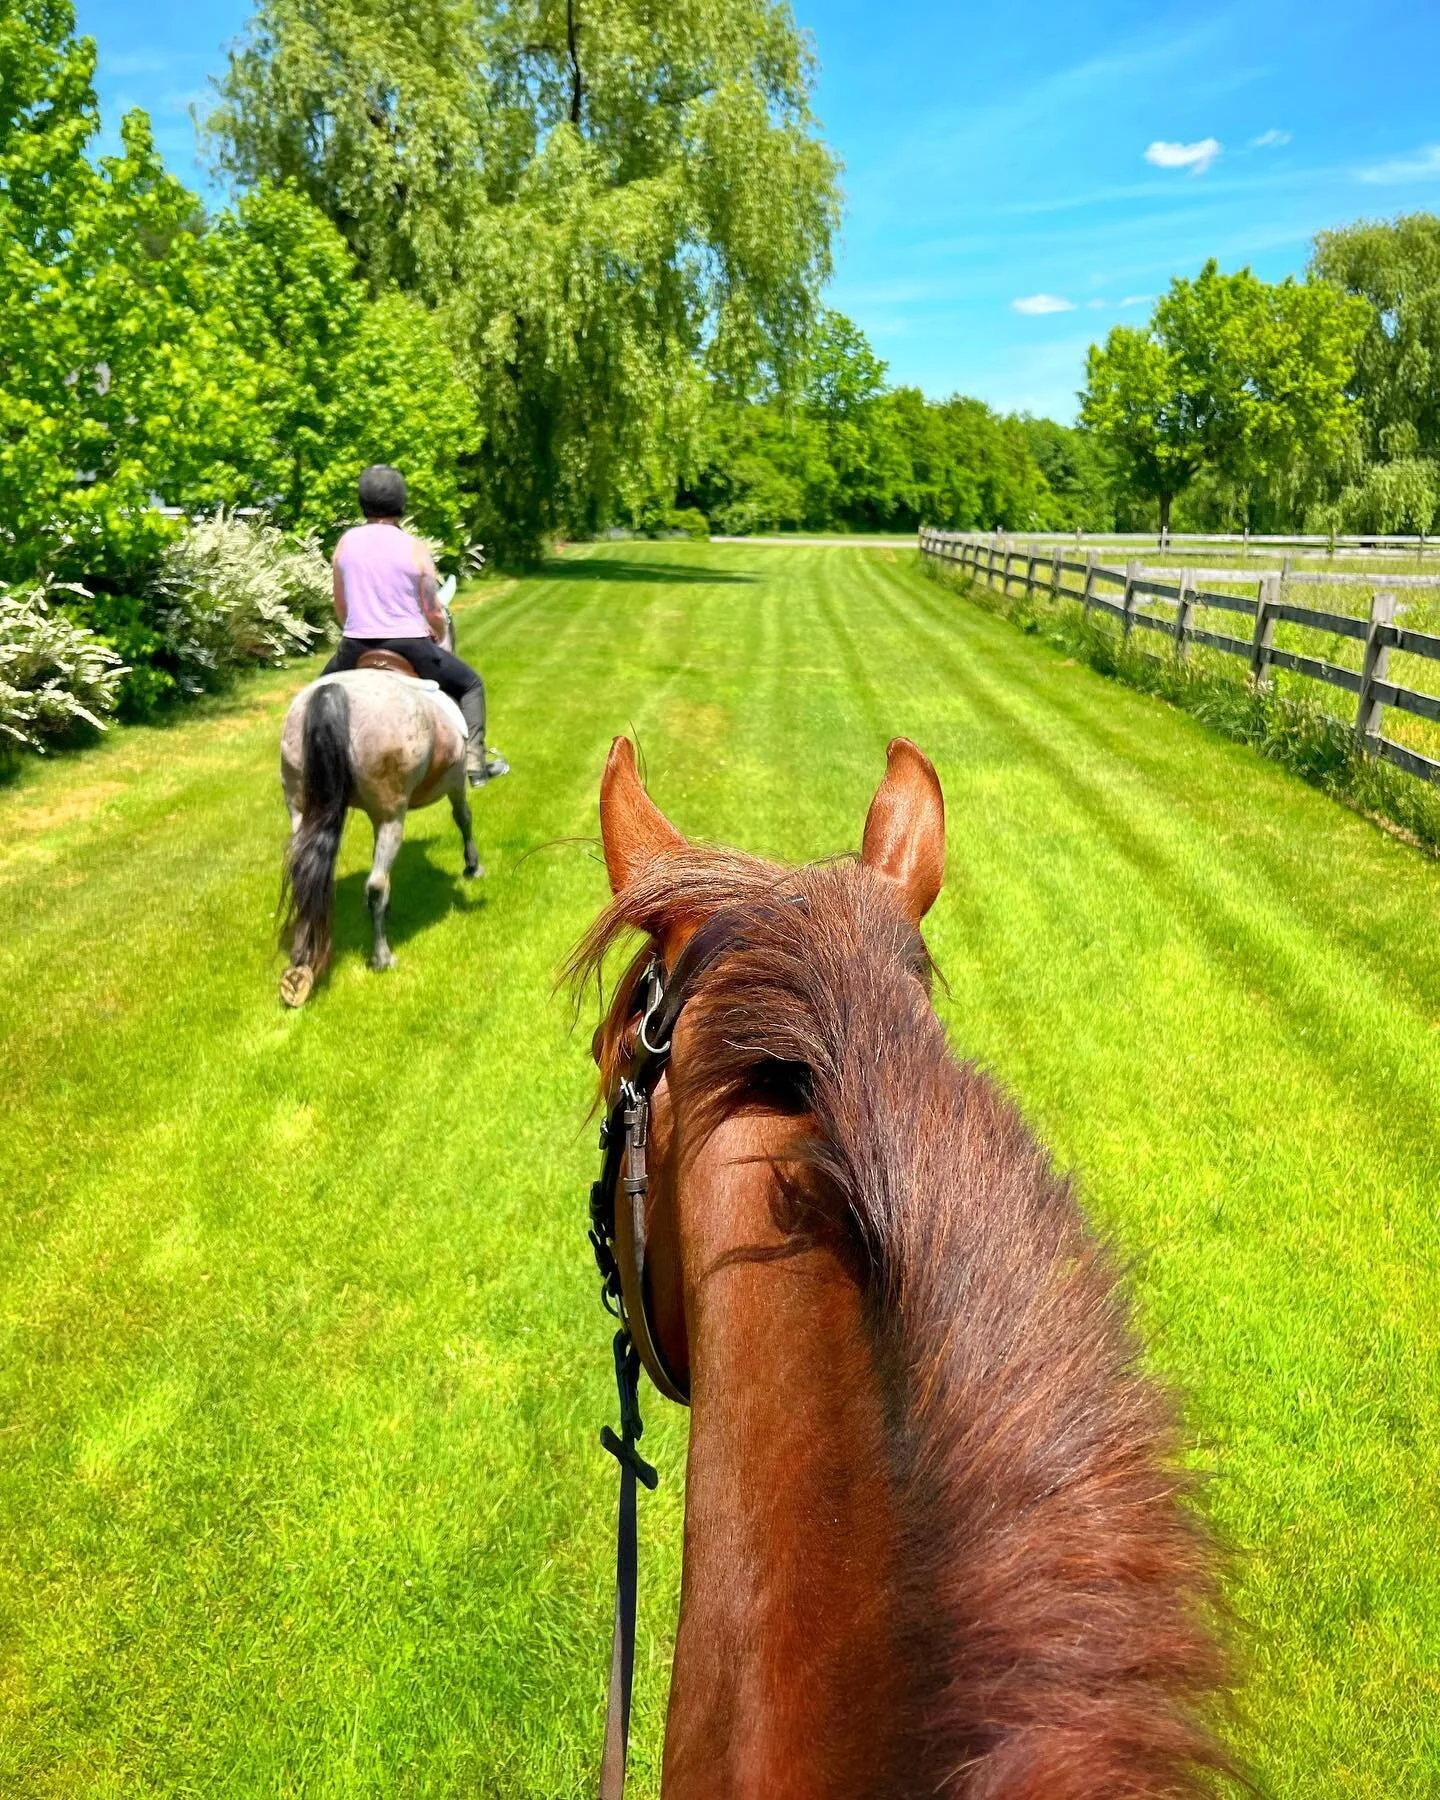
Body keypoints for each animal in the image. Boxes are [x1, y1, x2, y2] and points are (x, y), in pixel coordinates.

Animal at [277, 588, 480, 1007]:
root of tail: (333, 694)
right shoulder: (454, 783)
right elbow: (464, 818)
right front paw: (472, 865)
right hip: (391, 813)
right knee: (375, 885)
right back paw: (382, 956)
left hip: (300, 807)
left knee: (306, 874)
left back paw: (299, 969)